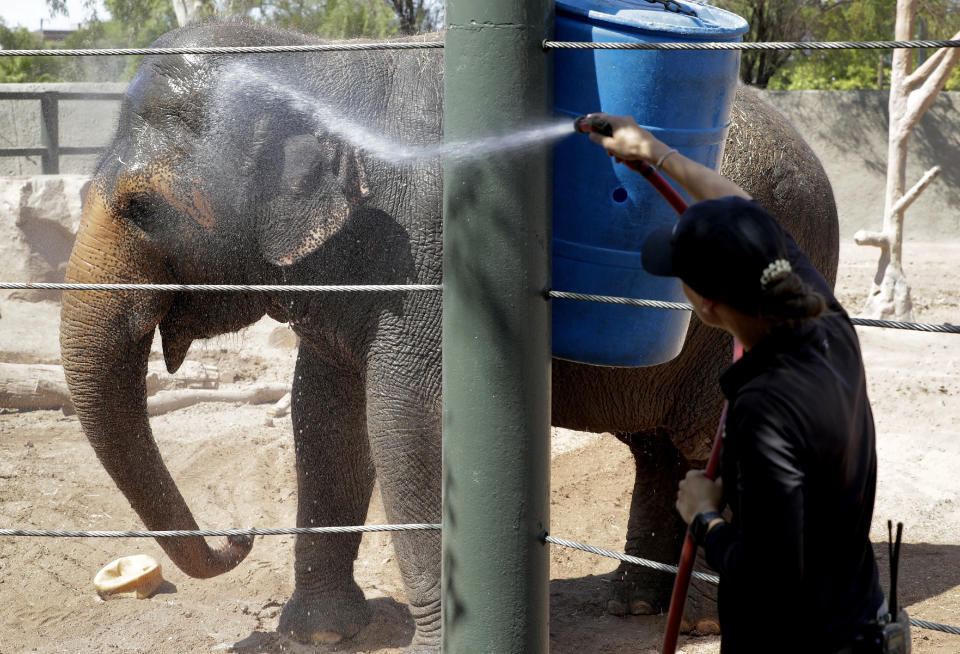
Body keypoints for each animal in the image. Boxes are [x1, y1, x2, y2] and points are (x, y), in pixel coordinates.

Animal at [60, 19, 836, 652]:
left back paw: (701, 618)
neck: (313, 58)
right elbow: (327, 415)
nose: (240, 534)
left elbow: (411, 419)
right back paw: (636, 604)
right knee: (659, 448)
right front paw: (318, 635)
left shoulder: (436, 247)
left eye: (138, 207)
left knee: (709, 436)